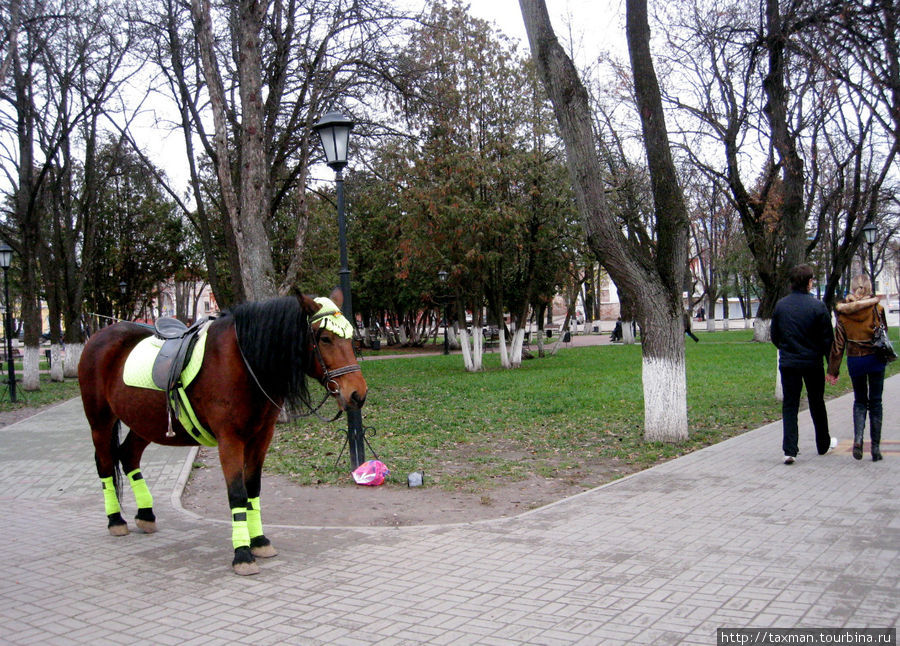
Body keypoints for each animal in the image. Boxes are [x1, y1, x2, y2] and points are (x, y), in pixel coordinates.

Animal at [77, 288, 366, 576]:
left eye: (351, 337)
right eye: (325, 338)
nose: (357, 394)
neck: (244, 361)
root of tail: (100, 336)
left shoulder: (261, 437)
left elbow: (252, 488)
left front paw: (259, 541)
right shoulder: (230, 440)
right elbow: (237, 492)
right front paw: (242, 553)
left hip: (145, 422)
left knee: (128, 456)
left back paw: (146, 514)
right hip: (100, 421)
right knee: (105, 465)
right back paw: (115, 520)